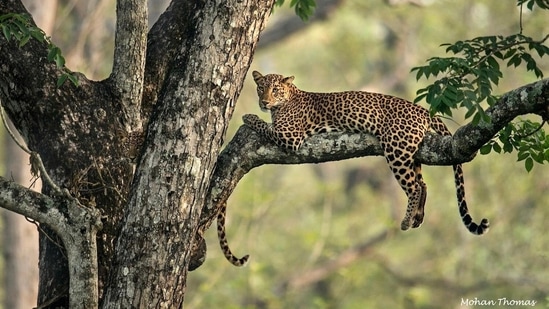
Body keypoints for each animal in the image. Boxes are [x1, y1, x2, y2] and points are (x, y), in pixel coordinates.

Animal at [216, 69, 490, 264]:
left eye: (275, 90)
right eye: (261, 88)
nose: (264, 102)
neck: (288, 98)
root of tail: (422, 109)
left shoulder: (289, 136)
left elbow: (264, 126)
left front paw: (249, 117)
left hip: (397, 150)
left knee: (413, 187)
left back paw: (405, 221)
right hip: (411, 154)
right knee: (422, 183)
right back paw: (418, 217)